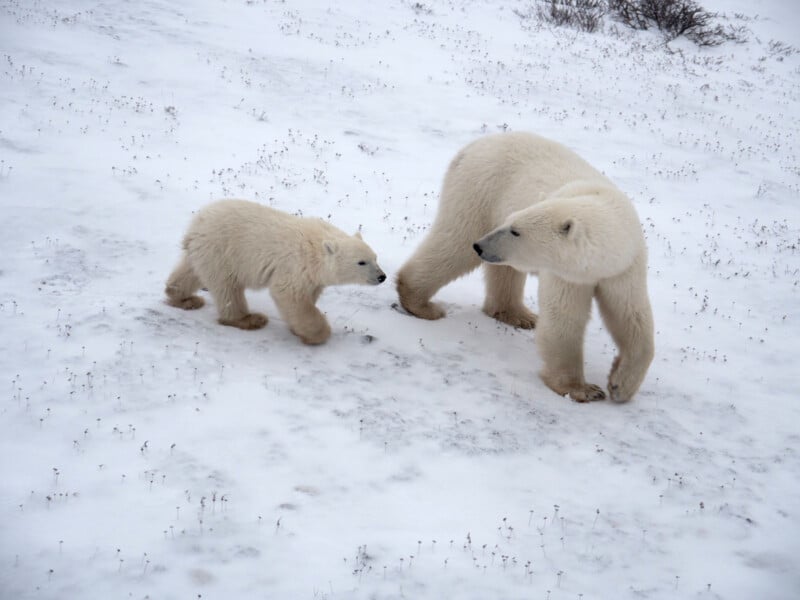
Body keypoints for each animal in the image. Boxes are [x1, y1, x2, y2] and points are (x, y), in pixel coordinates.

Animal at [165, 199, 386, 345]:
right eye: (361, 262)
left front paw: (298, 329)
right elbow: (289, 295)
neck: (317, 246)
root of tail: (195, 225)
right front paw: (317, 334)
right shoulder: (295, 265)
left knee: (191, 271)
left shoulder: (312, 276)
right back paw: (249, 319)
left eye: (376, 257)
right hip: (222, 251)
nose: (382, 277)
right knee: (228, 288)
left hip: (206, 251)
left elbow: (308, 295)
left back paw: (183, 298)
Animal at [396, 132, 654, 403]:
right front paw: (583, 389)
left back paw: (518, 315)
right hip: (480, 192)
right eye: (512, 224)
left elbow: (631, 317)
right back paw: (422, 304)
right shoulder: (566, 274)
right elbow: (564, 320)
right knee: (455, 244)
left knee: (504, 271)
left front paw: (621, 386)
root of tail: (472, 146)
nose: (480, 246)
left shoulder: (625, 268)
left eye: (515, 230)